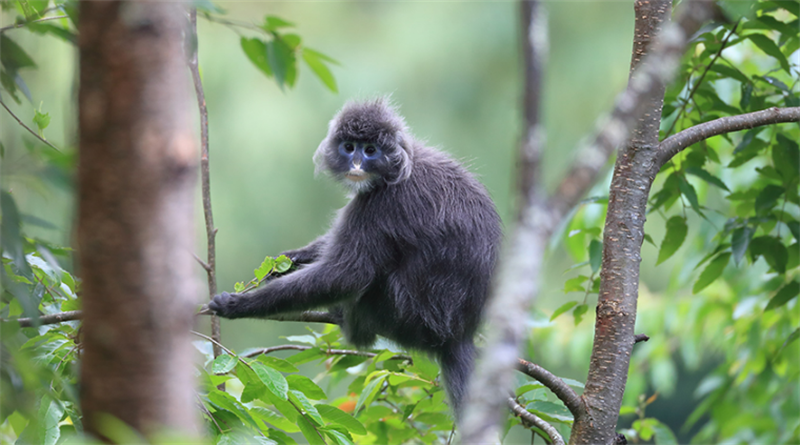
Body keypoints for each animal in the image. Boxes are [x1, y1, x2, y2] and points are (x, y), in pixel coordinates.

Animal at [209, 96, 504, 412]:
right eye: (349, 147)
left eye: (371, 150)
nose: (357, 163)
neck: (398, 169)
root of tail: (459, 333)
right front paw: (287, 262)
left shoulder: (382, 203)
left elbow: (348, 274)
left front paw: (238, 305)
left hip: (402, 314)